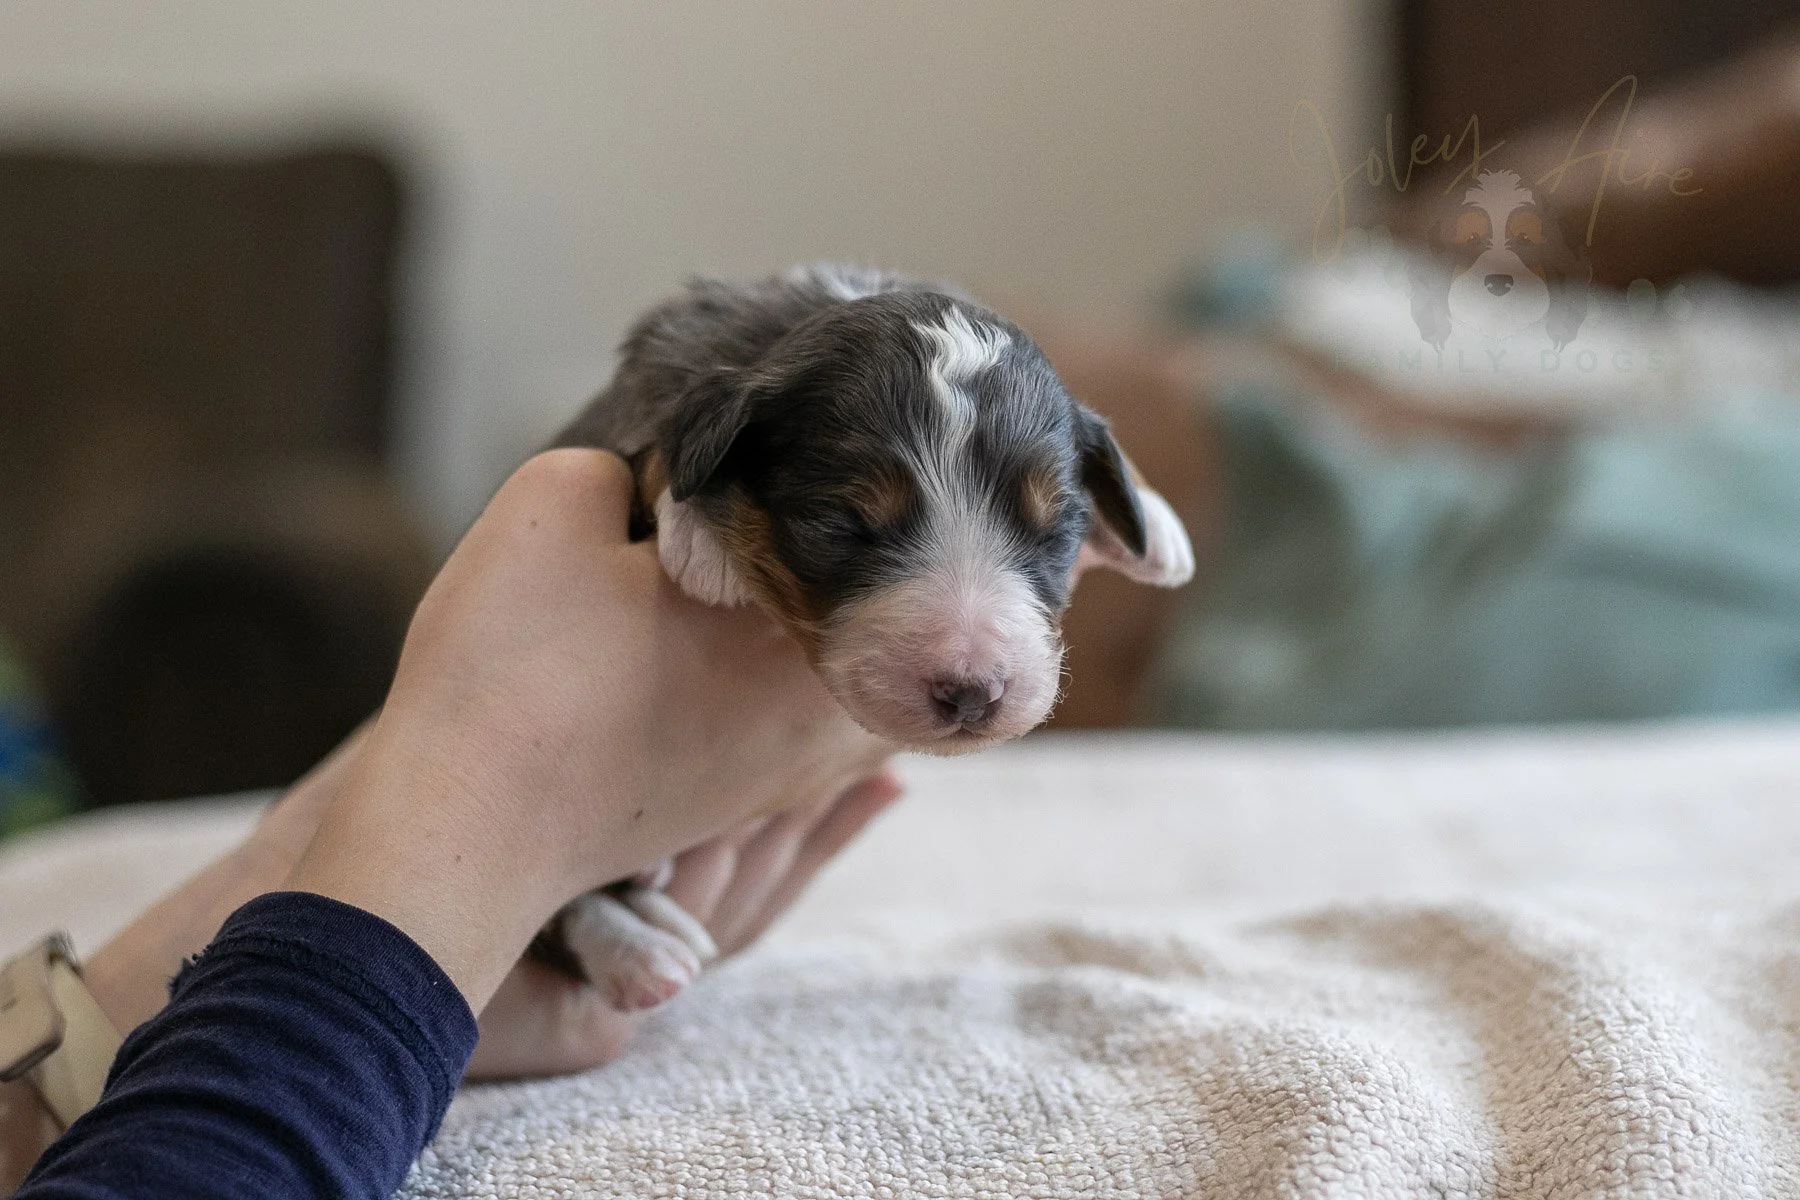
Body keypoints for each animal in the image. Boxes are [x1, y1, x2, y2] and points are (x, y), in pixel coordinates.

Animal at [535, 263, 1195, 1008]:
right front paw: (698, 534)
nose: (973, 692)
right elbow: (655, 452)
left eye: (1053, 529)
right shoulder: (630, 403)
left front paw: (1155, 520)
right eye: (843, 527)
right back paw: (636, 953)